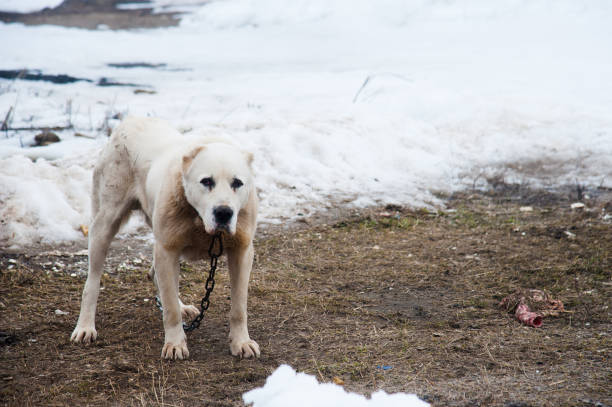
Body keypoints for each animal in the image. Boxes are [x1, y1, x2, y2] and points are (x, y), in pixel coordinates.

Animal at [70, 117, 260, 360]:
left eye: (237, 183)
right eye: (206, 181)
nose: (224, 213)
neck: (200, 222)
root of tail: (130, 120)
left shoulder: (241, 252)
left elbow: (239, 307)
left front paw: (241, 342)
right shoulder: (167, 249)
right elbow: (170, 310)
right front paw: (175, 344)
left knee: (156, 274)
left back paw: (182, 305)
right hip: (103, 226)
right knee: (92, 282)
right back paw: (85, 326)